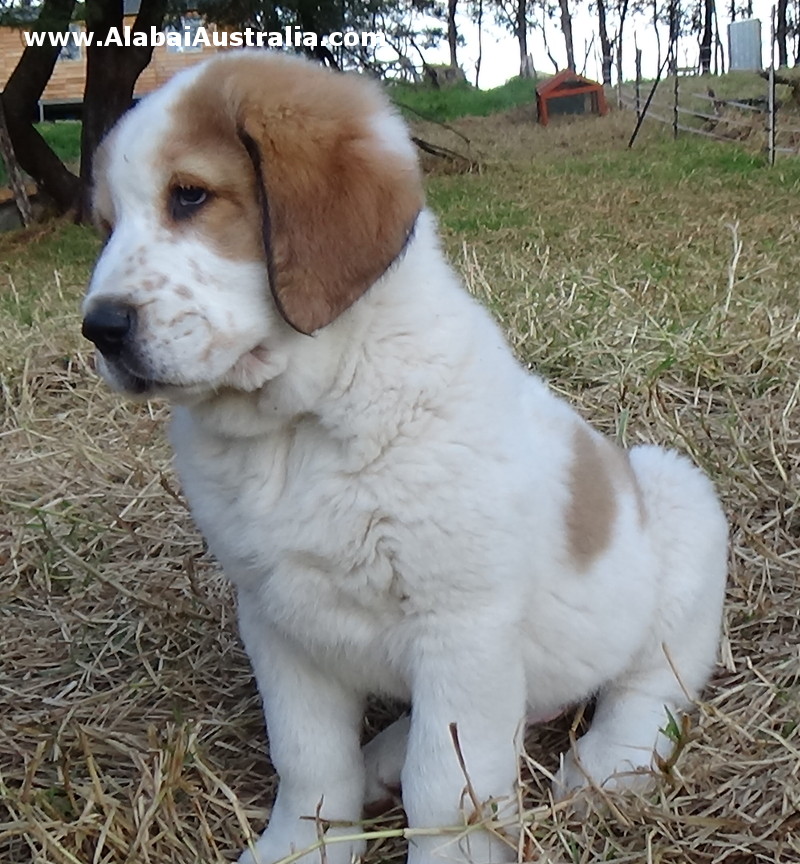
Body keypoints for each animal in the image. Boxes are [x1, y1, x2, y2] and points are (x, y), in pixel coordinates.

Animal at [84, 50, 728, 864]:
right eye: (106, 227)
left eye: (190, 195)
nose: (99, 328)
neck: (302, 425)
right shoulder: (278, 621)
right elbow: (308, 759)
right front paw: (301, 843)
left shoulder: (462, 629)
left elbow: (447, 786)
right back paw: (383, 758)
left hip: (678, 505)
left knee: (650, 684)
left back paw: (609, 763)